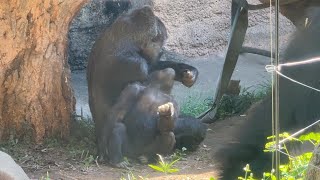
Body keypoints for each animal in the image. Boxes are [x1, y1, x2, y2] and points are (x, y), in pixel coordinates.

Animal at [87, 5, 206, 166]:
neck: (126, 38)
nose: (161, 51)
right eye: (160, 42)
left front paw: (188, 72)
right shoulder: (134, 64)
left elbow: (157, 67)